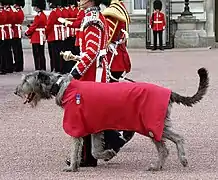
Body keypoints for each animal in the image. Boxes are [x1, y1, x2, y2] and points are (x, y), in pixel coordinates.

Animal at [14, 68, 209, 172]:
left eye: (25, 80)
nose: (16, 91)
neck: (62, 86)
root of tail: (168, 92)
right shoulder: (95, 127)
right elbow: (95, 151)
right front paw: (108, 154)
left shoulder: (76, 124)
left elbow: (76, 147)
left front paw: (72, 167)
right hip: (153, 126)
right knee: (167, 146)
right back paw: (160, 165)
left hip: (152, 123)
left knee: (175, 140)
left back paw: (179, 160)